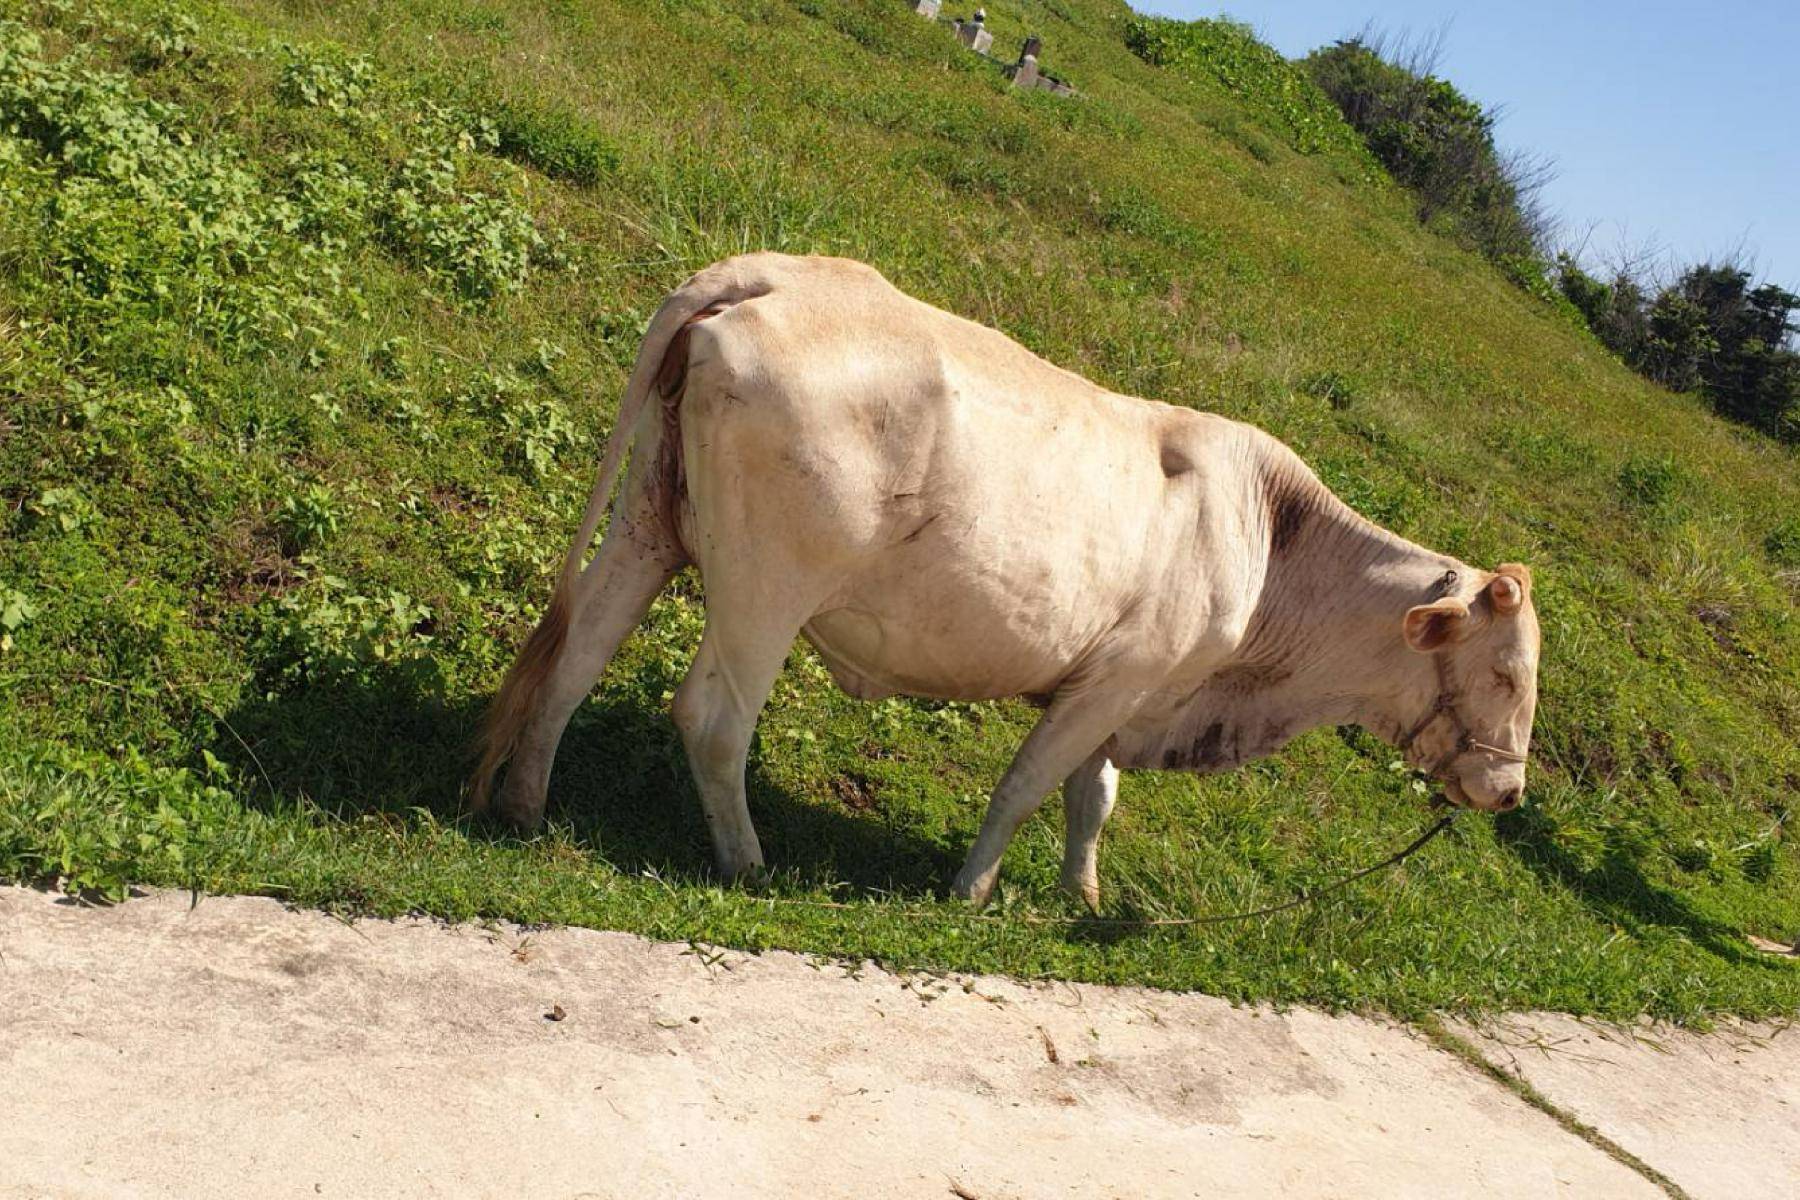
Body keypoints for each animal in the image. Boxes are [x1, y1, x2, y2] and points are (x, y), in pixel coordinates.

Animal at [471, 255, 1540, 910]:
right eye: (1507, 674)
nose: (1508, 791)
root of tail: (770, 273)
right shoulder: (1119, 680)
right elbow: (1027, 786)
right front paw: (970, 894)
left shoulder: (1124, 687)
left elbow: (1091, 798)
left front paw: (1084, 899)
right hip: (767, 589)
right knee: (711, 716)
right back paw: (749, 864)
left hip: (650, 523)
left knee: (578, 653)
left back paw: (524, 805)